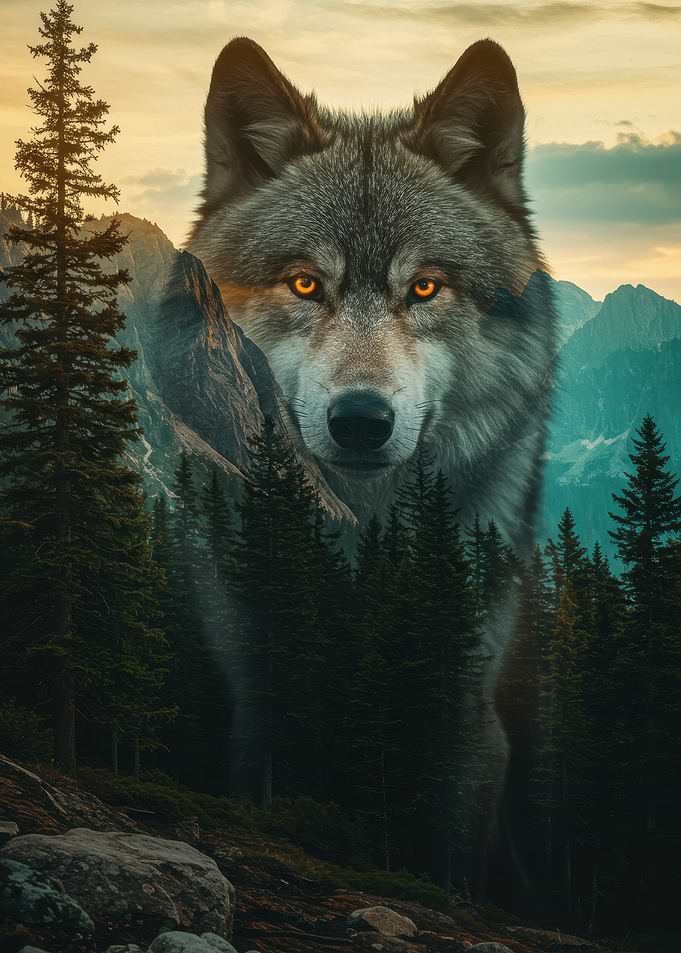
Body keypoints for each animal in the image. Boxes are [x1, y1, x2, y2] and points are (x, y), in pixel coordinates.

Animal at [188, 36, 557, 907]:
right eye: (303, 283)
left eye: (423, 286)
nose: (360, 420)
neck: (360, 542)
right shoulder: (258, 678)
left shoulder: (464, 709)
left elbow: (452, 851)